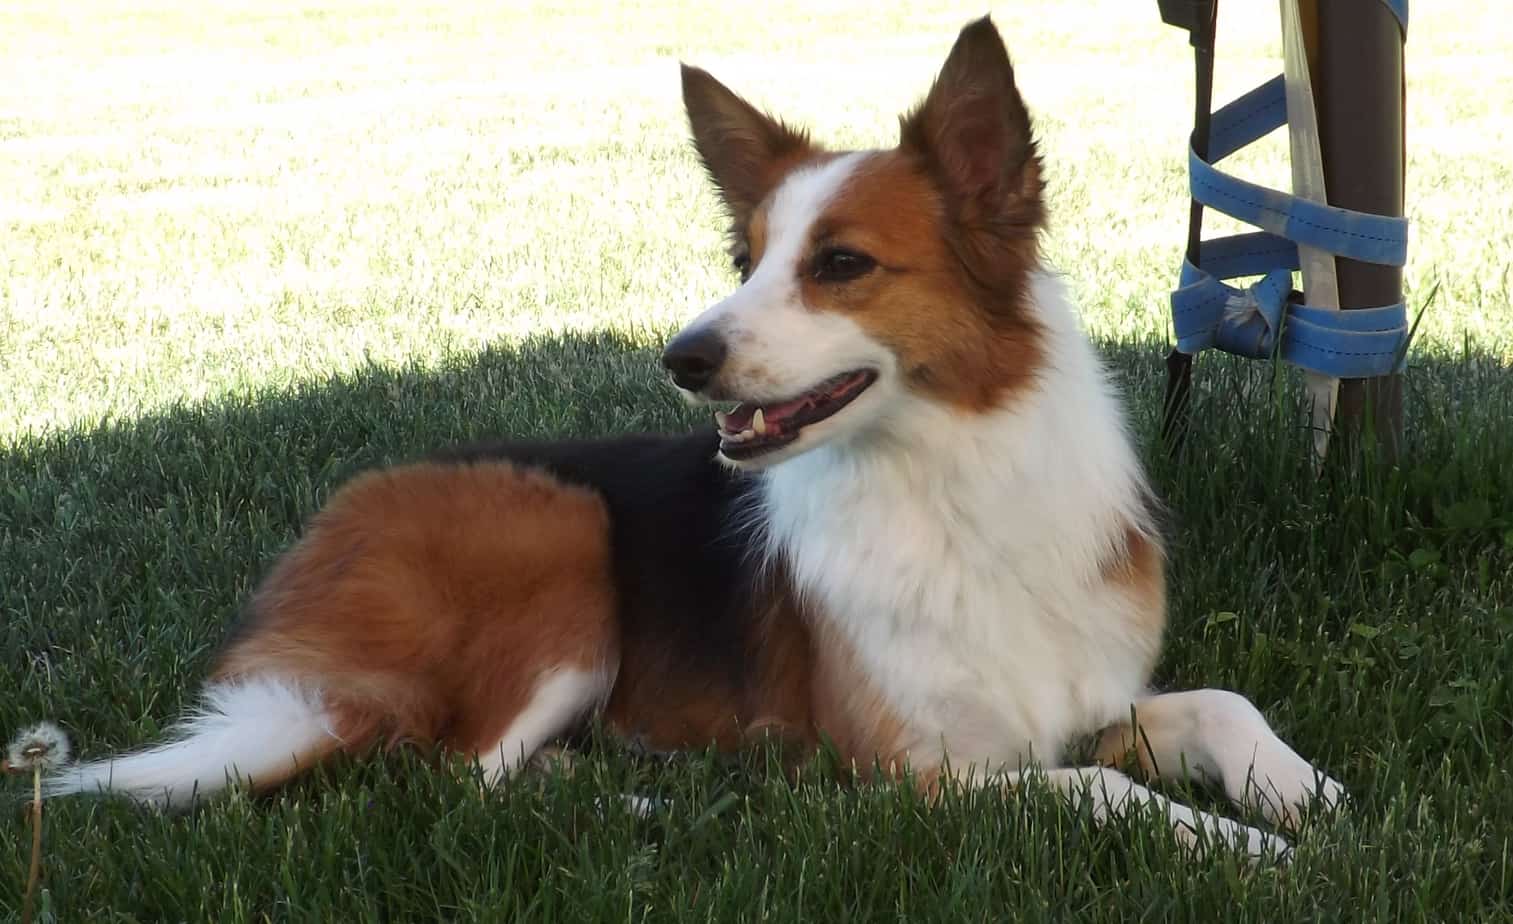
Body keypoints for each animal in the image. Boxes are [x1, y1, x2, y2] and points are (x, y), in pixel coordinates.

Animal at [50, 16, 1349, 858]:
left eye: (841, 264)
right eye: (744, 258)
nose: (682, 359)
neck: (946, 478)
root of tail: (319, 546)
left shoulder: (1074, 697)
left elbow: (1218, 703)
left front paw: (1303, 795)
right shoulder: (918, 770)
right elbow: (1095, 791)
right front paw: (1243, 849)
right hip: (556, 531)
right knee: (465, 779)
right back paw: (656, 803)